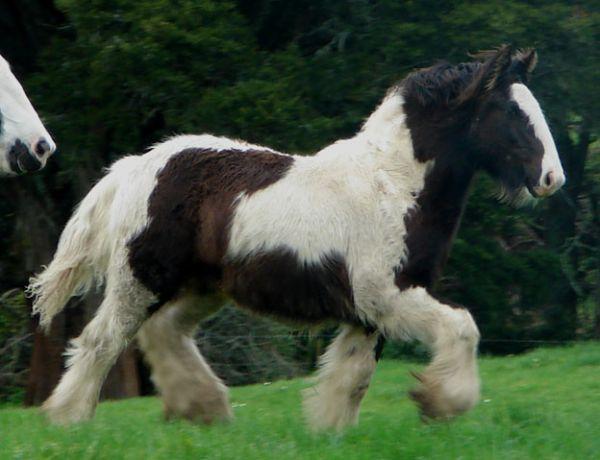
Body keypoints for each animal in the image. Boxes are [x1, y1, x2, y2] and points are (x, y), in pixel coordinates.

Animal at [30, 45, 568, 428]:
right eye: (511, 112)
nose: (552, 178)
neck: (393, 184)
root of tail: (134, 166)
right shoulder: (385, 296)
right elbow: (461, 327)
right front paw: (440, 402)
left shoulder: (370, 312)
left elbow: (350, 378)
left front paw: (329, 432)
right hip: (141, 279)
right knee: (101, 340)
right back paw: (68, 420)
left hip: (202, 287)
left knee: (162, 332)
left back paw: (206, 409)